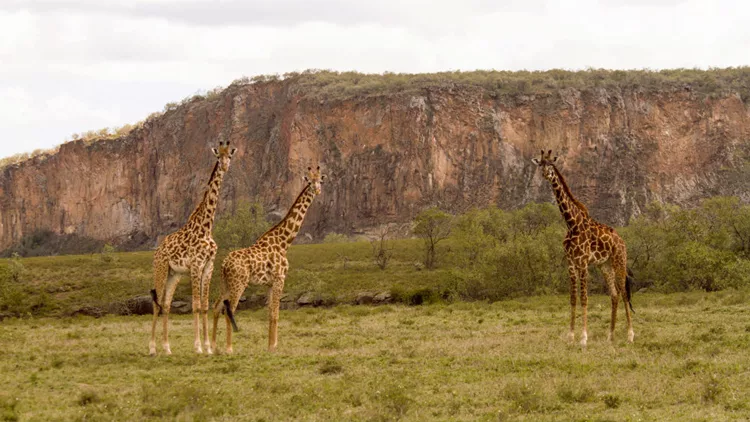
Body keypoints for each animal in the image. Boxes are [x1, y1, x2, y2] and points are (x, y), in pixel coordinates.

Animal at [148, 140, 236, 354]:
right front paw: (198, 347)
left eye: (230, 155)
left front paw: (209, 348)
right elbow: (195, 304)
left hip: (174, 275)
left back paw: (167, 348)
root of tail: (157, 251)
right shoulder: (196, 265)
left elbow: (204, 305)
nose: (225, 167)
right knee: (156, 304)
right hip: (161, 269)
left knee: (166, 304)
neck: (206, 226)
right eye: (218, 156)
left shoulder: (208, 266)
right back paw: (152, 348)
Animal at [213, 165, 328, 352]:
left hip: (225, 284)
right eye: (310, 182)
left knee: (216, 307)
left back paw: (213, 346)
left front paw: (269, 345)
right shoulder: (280, 278)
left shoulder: (269, 282)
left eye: (320, 181)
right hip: (239, 283)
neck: (284, 242)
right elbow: (276, 313)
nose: (317, 191)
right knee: (230, 309)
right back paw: (229, 349)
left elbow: (269, 313)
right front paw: (274, 346)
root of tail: (224, 264)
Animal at [536, 149, 636, 346]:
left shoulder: (582, 262)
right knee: (614, 294)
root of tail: (622, 240)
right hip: (605, 265)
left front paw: (583, 338)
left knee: (623, 293)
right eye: (541, 164)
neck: (571, 223)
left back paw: (630, 335)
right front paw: (571, 337)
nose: (545, 174)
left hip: (619, 261)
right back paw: (610, 336)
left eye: (551, 164)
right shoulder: (571, 263)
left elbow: (584, 298)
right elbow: (573, 298)